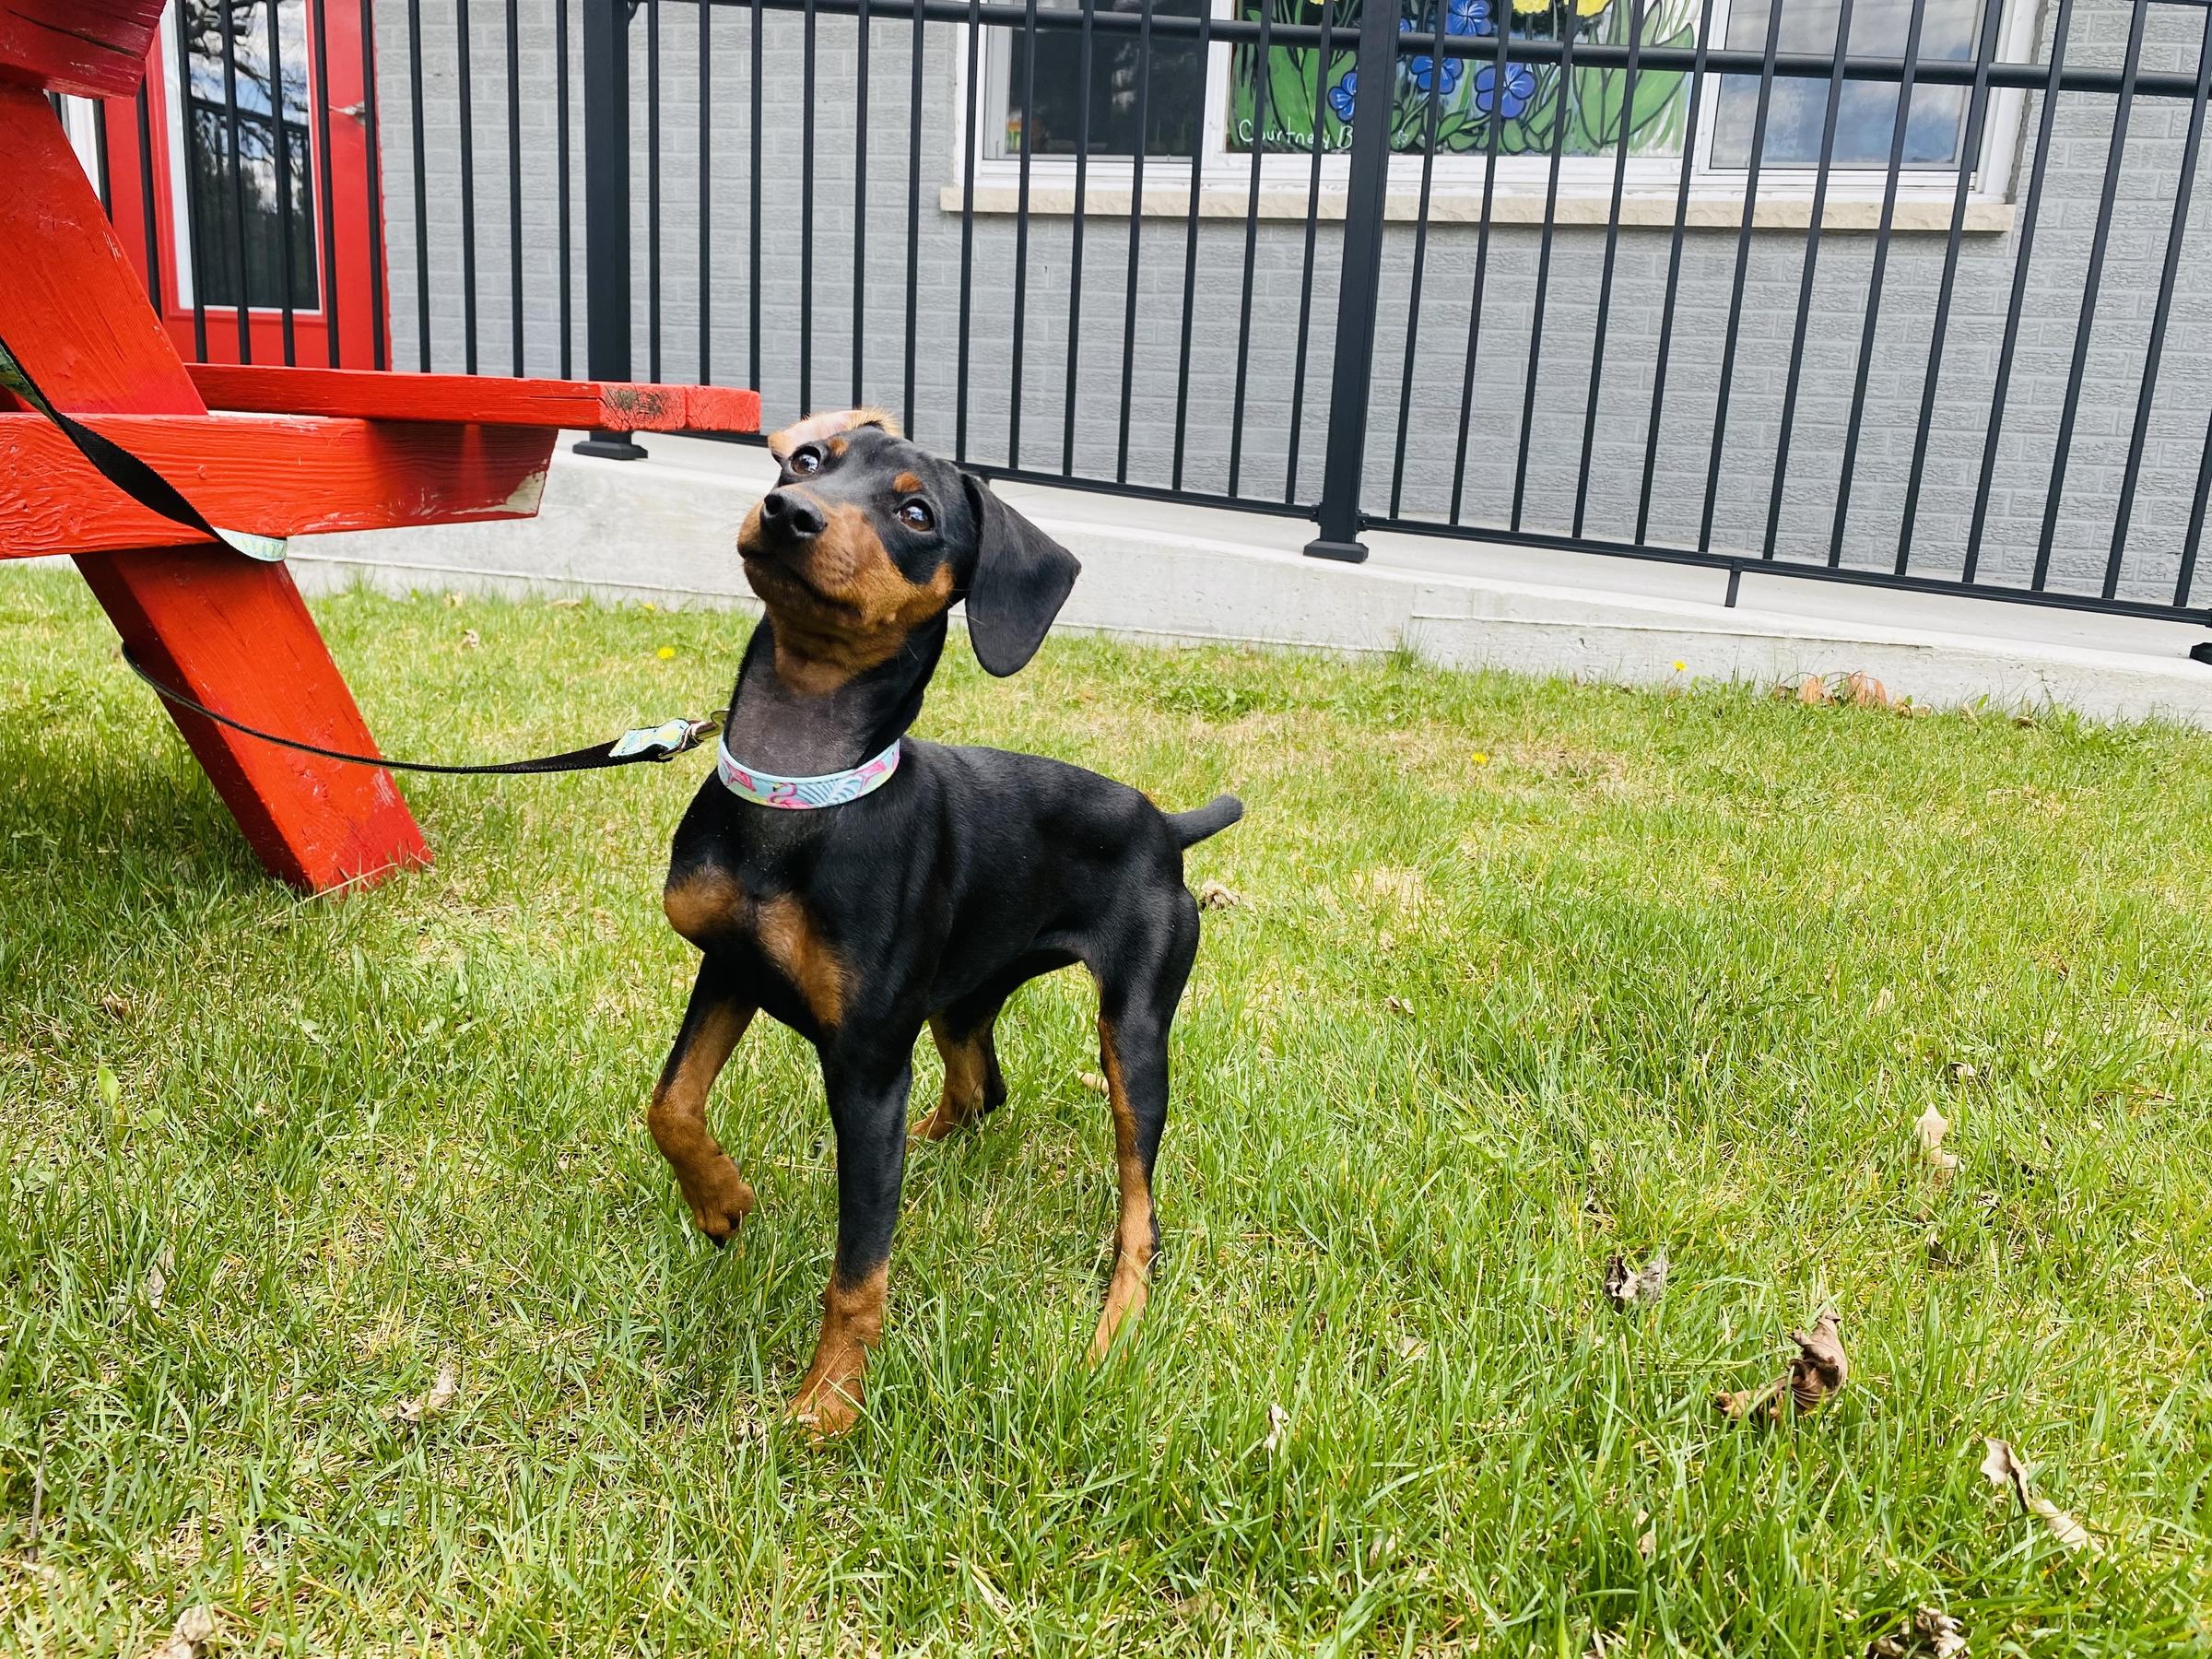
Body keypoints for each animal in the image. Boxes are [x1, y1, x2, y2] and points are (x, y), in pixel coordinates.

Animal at [650, 409, 1247, 1433]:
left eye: (918, 514)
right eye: (808, 461)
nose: (787, 511)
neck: (798, 788)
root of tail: (1164, 825)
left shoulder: (866, 1064)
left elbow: (859, 1269)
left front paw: (827, 1404)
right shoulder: (729, 967)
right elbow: (671, 1104)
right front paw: (721, 1201)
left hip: (1132, 1032)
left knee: (1140, 1205)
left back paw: (1116, 1321)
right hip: (960, 995)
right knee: (979, 1090)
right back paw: (923, 1154)